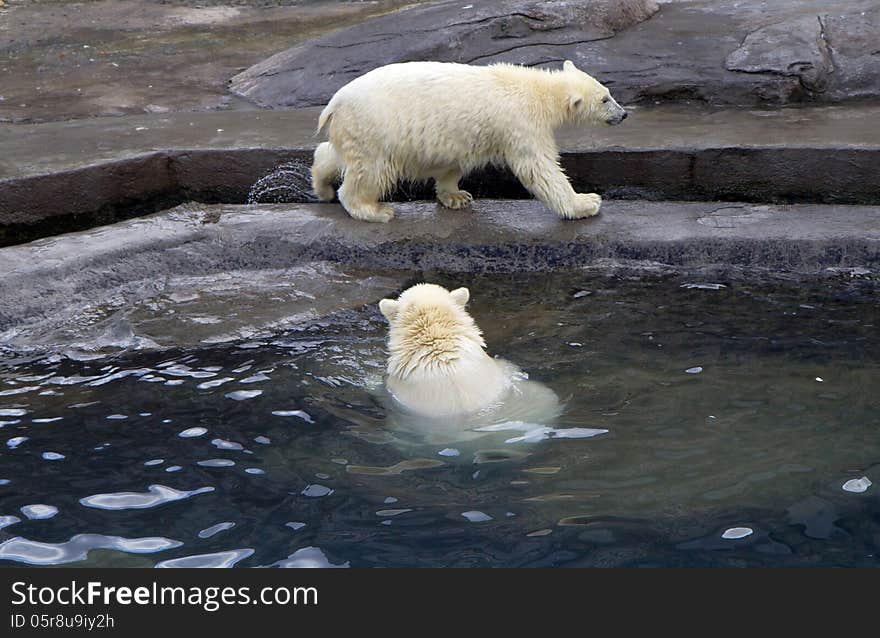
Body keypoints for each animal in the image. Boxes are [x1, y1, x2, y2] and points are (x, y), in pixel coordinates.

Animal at [312, 60, 628, 224]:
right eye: (605, 99)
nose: (624, 114)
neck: (538, 91)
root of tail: (334, 104)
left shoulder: (461, 134)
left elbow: (451, 163)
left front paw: (456, 196)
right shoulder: (521, 123)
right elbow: (539, 168)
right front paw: (586, 203)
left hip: (355, 129)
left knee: (336, 155)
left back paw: (322, 186)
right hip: (375, 128)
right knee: (371, 171)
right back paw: (375, 210)